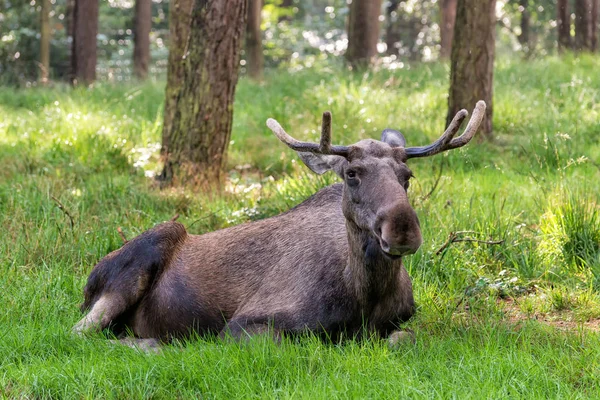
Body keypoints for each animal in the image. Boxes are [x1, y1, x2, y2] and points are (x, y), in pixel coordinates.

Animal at [72, 101, 486, 348]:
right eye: (352, 173)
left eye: (407, 175)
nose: (402, 228)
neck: (365, 296)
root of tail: (89, 281)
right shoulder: (244, 324)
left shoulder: (403, 320)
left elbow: (405, 337)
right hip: (146, 251)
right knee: (81, 334)